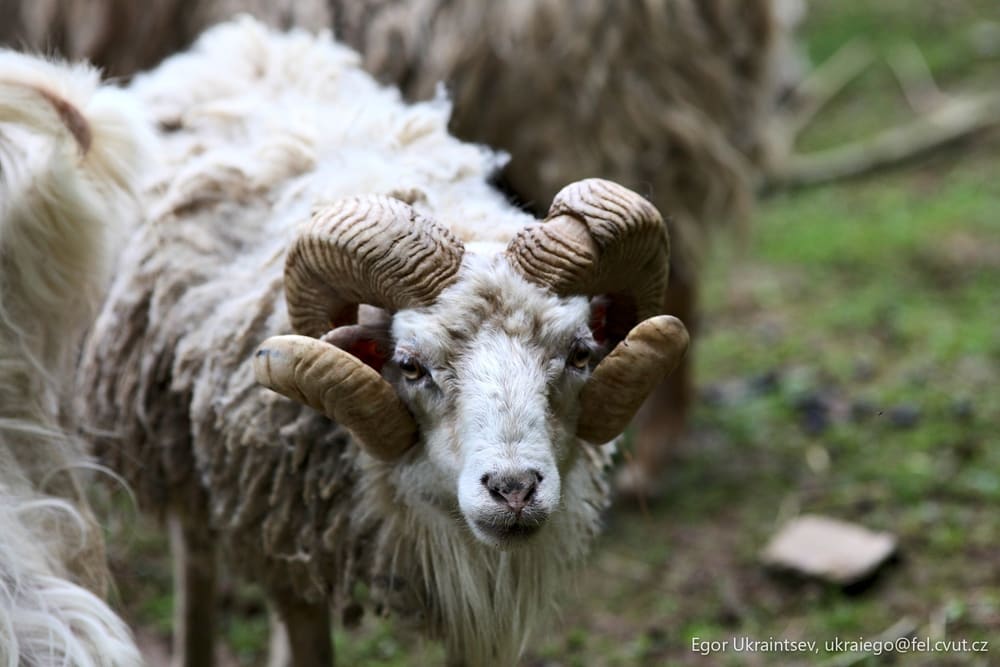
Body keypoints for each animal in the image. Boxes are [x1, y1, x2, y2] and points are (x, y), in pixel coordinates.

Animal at [33, 18, 692, 666]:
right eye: (410, 366)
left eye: (580, 355)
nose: (514, 491)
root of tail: (247, 37)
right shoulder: (284, 539)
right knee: (194, 556)